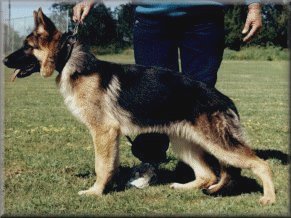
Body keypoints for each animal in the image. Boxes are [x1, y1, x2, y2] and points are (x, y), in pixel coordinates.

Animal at [2, 8, 276, 205]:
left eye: (27, 46)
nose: (4, 60)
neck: (69, 59)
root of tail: (224, 99)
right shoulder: (110, 136)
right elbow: (109, 165)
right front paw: (107, 187)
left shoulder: (103, 132)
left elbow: (101, 165)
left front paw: (95, 192)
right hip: (184, 142)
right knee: (207, 174)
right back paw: (183, 187)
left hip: (217, 144)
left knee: (260, 164)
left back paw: (269, 198)